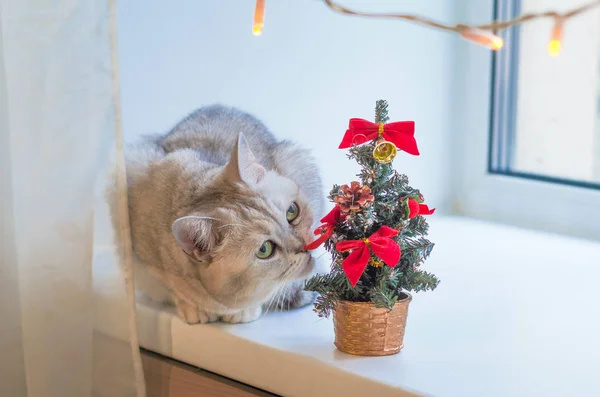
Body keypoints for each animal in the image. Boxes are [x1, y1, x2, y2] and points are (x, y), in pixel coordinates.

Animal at [115, 104, 326, 322]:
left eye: (292, 211)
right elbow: (172, 287)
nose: (306, 246)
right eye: (265, 249)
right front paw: (192, 307)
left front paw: (244, 311)